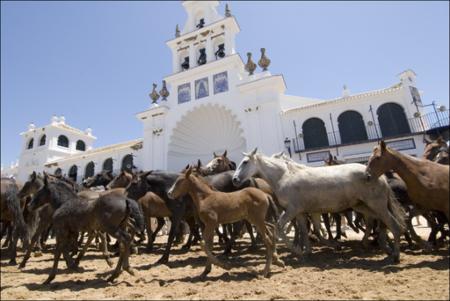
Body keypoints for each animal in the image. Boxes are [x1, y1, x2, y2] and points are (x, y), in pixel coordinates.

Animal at [234, 148, 406, 262]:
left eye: (245, 162)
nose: (235, 179)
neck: (285, 176)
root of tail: (379, 175)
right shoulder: (302, 212)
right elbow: (307, 231)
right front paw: (307, 251)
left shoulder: (292, 210)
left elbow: (280, 228)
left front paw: (297, 250)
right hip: (363, 206)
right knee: (379, 222)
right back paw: (382, 246)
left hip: (376, 205)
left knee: (393, 225)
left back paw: (394, 254)